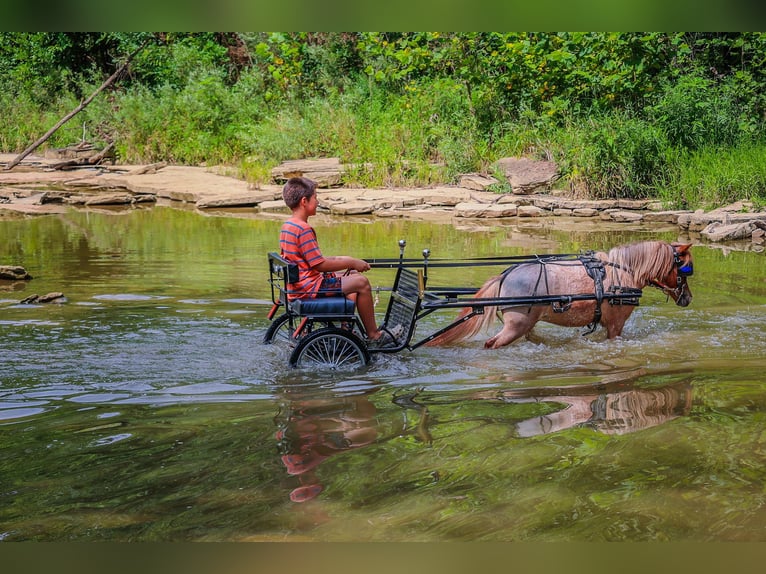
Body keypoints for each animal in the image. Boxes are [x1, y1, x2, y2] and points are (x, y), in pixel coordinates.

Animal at [426, 240, 696, 348]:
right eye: (684, 269)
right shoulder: (616, 325)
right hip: (516, 326)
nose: (688, 298)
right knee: (492, 344)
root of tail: (505, 276)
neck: (624, 272)